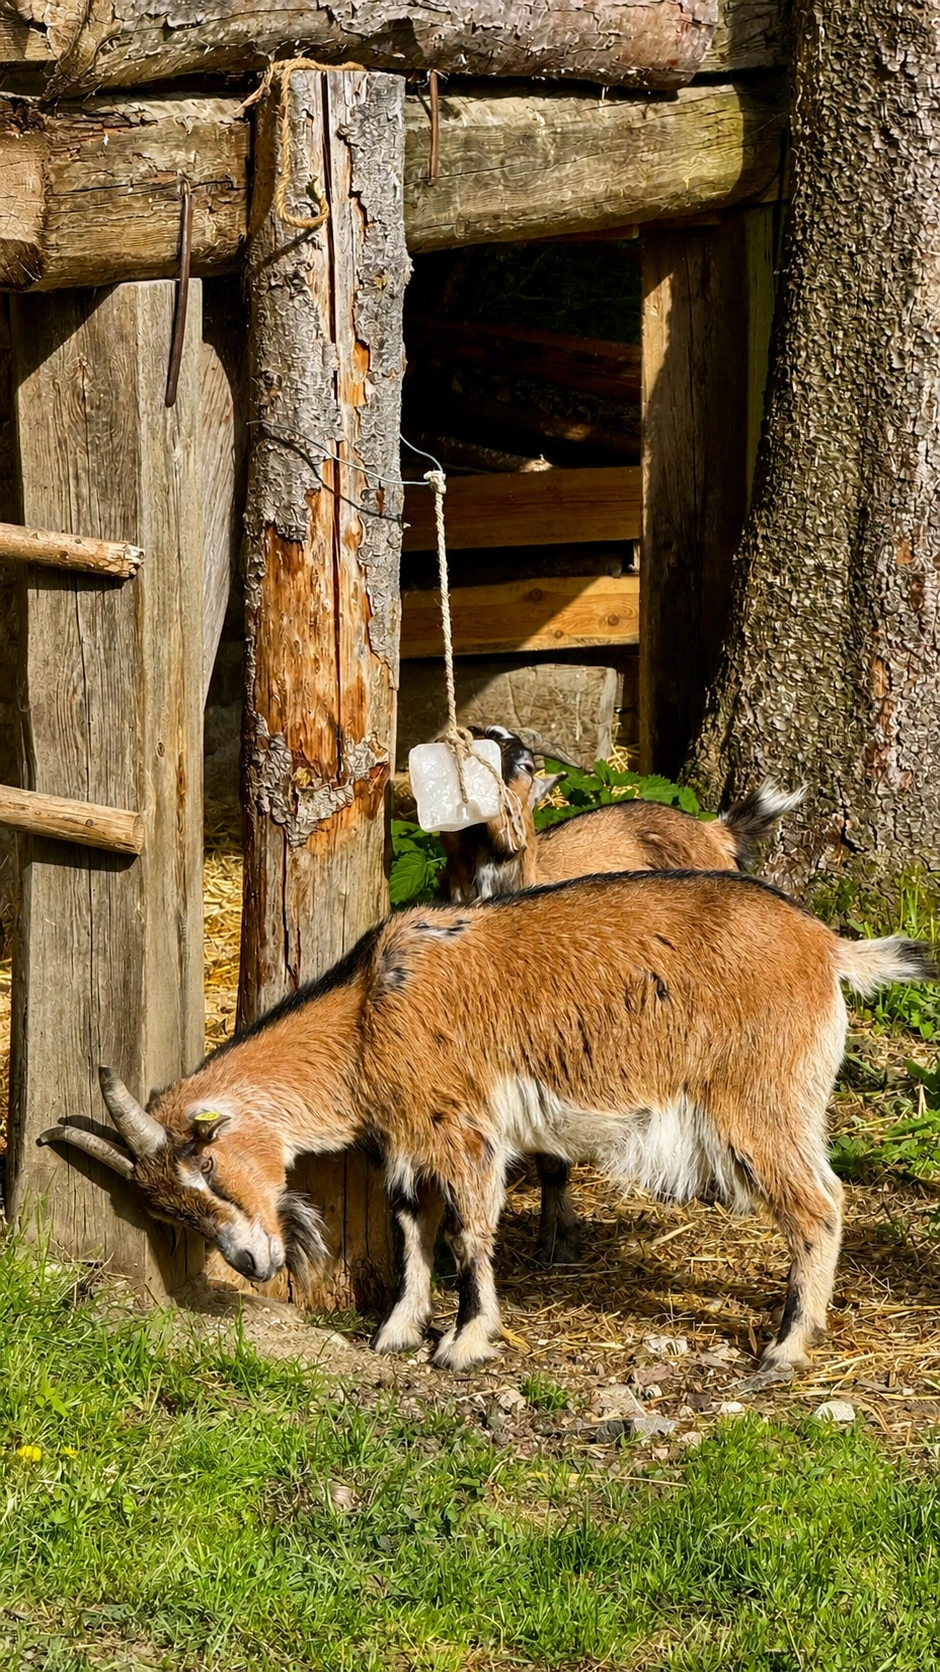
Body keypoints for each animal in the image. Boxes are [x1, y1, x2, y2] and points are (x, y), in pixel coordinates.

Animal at [40, 870, 934, 1374]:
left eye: (212, 1168)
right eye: (168, 1209)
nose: (253, 1265)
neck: (365, 1014)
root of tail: (827, 948)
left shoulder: (462, 1129)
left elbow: (467, 1234)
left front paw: (465, 1343)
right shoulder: (405, 1139)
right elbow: (411, 1230)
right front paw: (398, 1332)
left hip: (761, 1096)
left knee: (820, 1205)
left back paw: (785, 1349)